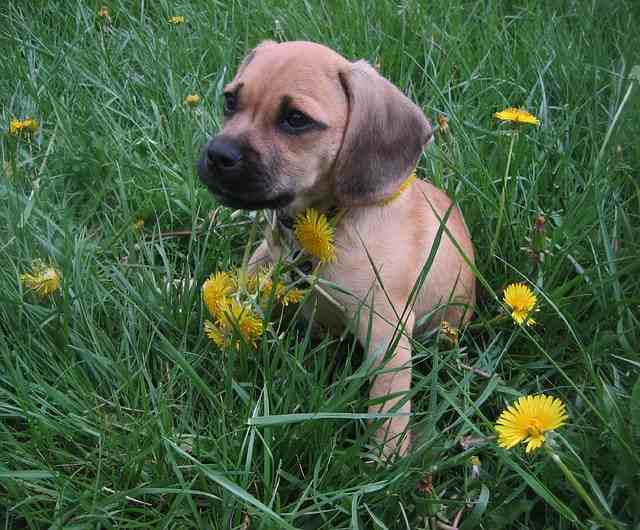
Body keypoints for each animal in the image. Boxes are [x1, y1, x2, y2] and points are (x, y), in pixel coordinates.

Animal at [199, 41, 476, 456]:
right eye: (230, 101)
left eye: (296, 120)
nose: (218, 154)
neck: (326, 223)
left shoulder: (388, 332)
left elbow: (388, 403)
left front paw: (387, 457)